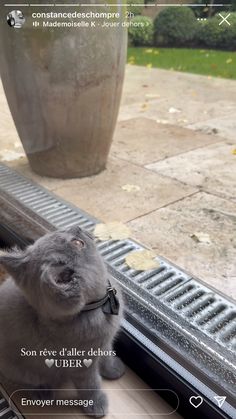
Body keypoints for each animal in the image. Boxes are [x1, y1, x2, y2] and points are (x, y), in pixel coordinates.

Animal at [0, 228, 125, 418]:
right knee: (29, 380)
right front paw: (96, 404)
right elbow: (90, 384)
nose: (77, 227)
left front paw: (112, 370)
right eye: (78, 243)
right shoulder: (80, 363)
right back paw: (42, 392)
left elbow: (107, 355)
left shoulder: (104, 342)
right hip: (21, 369)